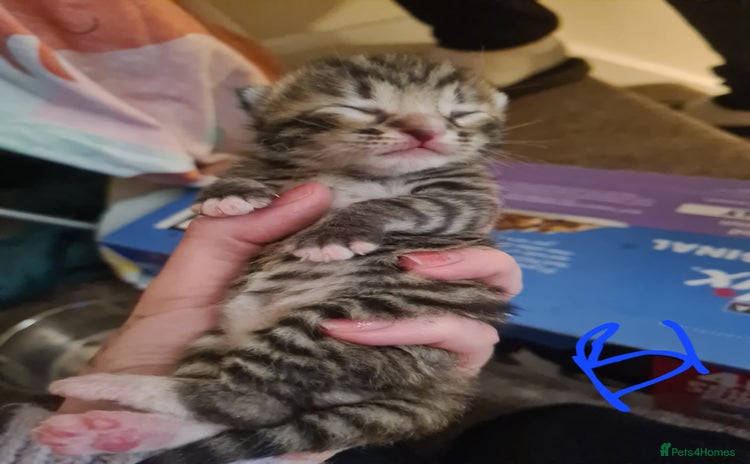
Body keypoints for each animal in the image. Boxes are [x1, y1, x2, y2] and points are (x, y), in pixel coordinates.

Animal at [33, 54, 511, 463]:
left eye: (459, 114)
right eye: (358, 106)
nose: (424, 131)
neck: (355, 172)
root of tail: (438, 391)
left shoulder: (467, 197)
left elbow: (403, 205)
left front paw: (335, 233)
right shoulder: (277, 165)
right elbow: (244, 167)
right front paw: (227, 194)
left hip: (347, 320)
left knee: (255, 403)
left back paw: (108, 392)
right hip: (217, 336)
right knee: (240, 409)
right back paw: (120, 427)